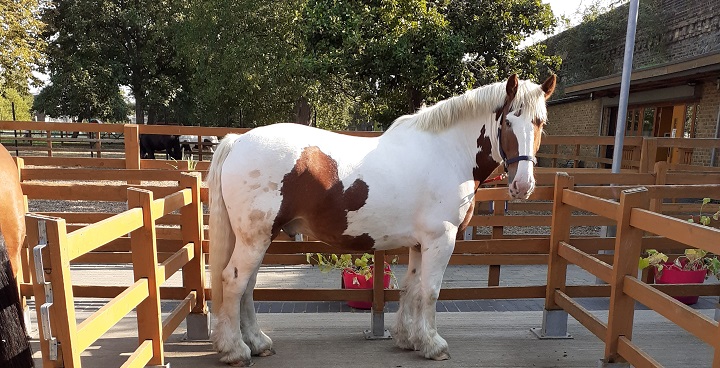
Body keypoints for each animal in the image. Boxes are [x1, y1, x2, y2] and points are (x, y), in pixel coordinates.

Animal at [208, 75, 556, 366]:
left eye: (540, 122)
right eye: (508, 122)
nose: (523, 184)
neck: (447, 153)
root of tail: (238, 142)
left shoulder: (420, 243)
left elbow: (412, 288)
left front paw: (409, 339)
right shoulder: (441, 239)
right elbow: (430, 291)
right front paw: (434, 345)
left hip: (258, 238)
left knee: (248, 287)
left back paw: (257, 342)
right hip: (255, 238)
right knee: (234, 282)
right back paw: (236, 350)